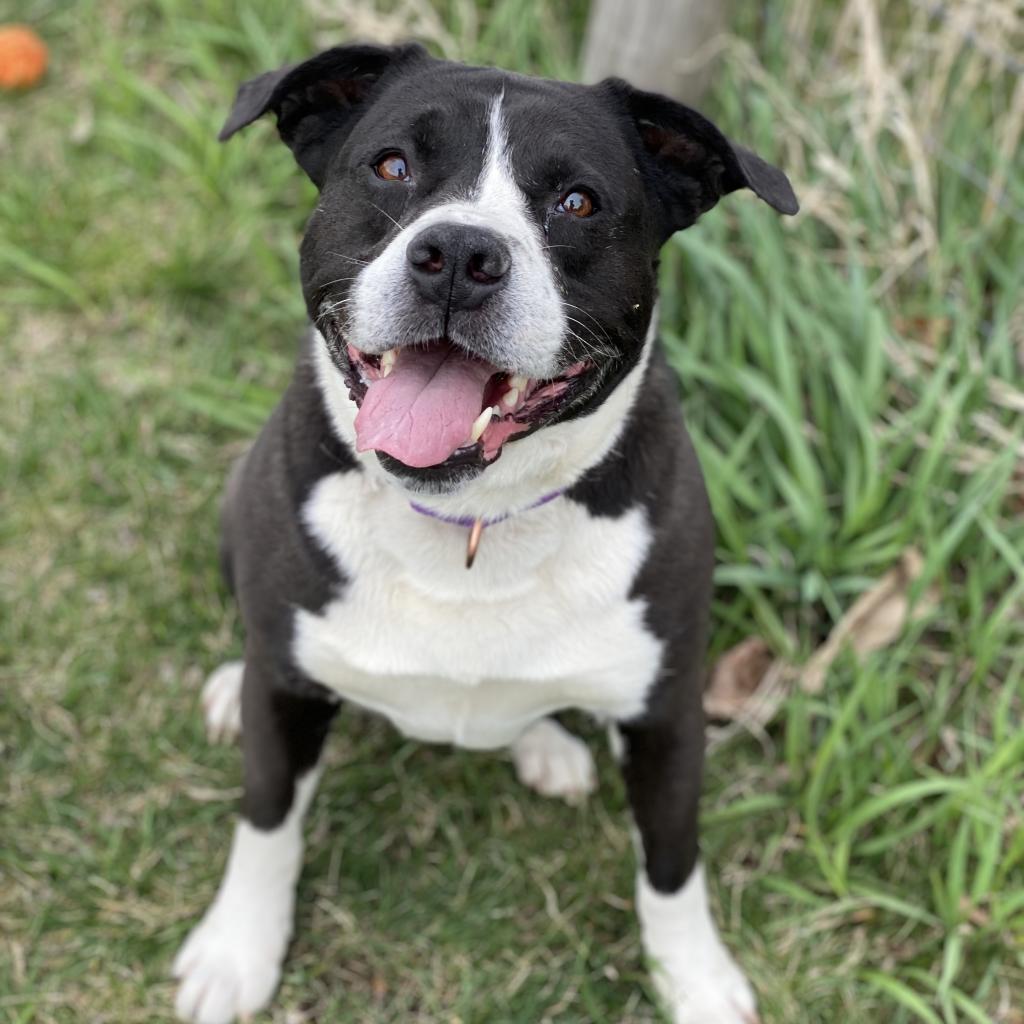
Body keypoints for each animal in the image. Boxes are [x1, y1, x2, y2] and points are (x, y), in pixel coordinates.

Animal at [172, 41, 798, 1024]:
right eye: (392, 166)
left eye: (577, 202)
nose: (460, 254)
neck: (471, 518)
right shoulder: (286, 704)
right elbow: (267, 822)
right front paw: (238, 954)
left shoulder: (667, 712)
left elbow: (672, 865)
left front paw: (696, 982)